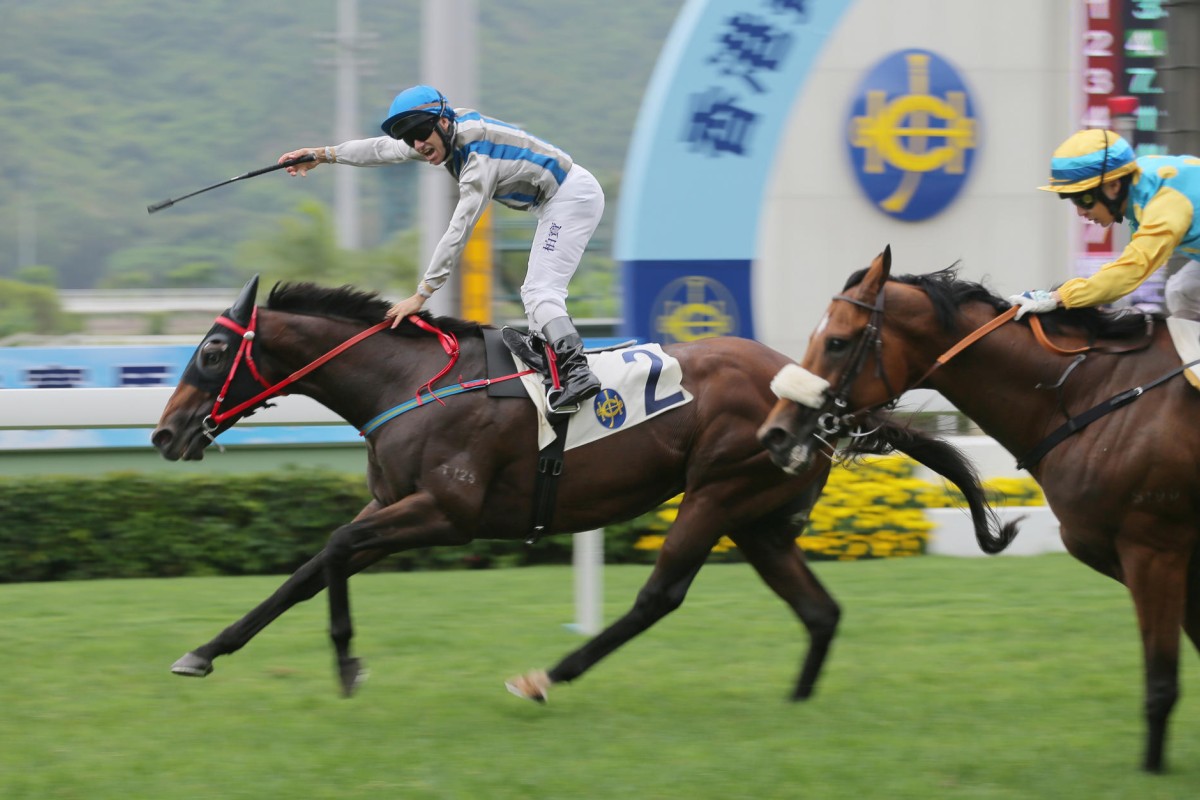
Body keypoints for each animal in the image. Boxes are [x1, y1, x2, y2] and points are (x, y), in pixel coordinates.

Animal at [150, 278, 1012, 705]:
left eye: (213, 351)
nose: (165, 433)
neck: (410, 382)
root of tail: (818, 395)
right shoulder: (392, 504)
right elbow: (303, 572)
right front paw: (203, 652)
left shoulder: (446, 513)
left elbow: (333, 549)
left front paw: (347, 664)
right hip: (759, 517)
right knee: (819, 611)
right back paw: (796, 704)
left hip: (716, 493)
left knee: (660, 596)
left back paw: (546, 677)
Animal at [758, 247, 1200, 772]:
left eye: (837, 342)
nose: (776, 433)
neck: (1090, 393)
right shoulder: (1171, 561)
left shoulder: (1154, 550)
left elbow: (1161, 681)